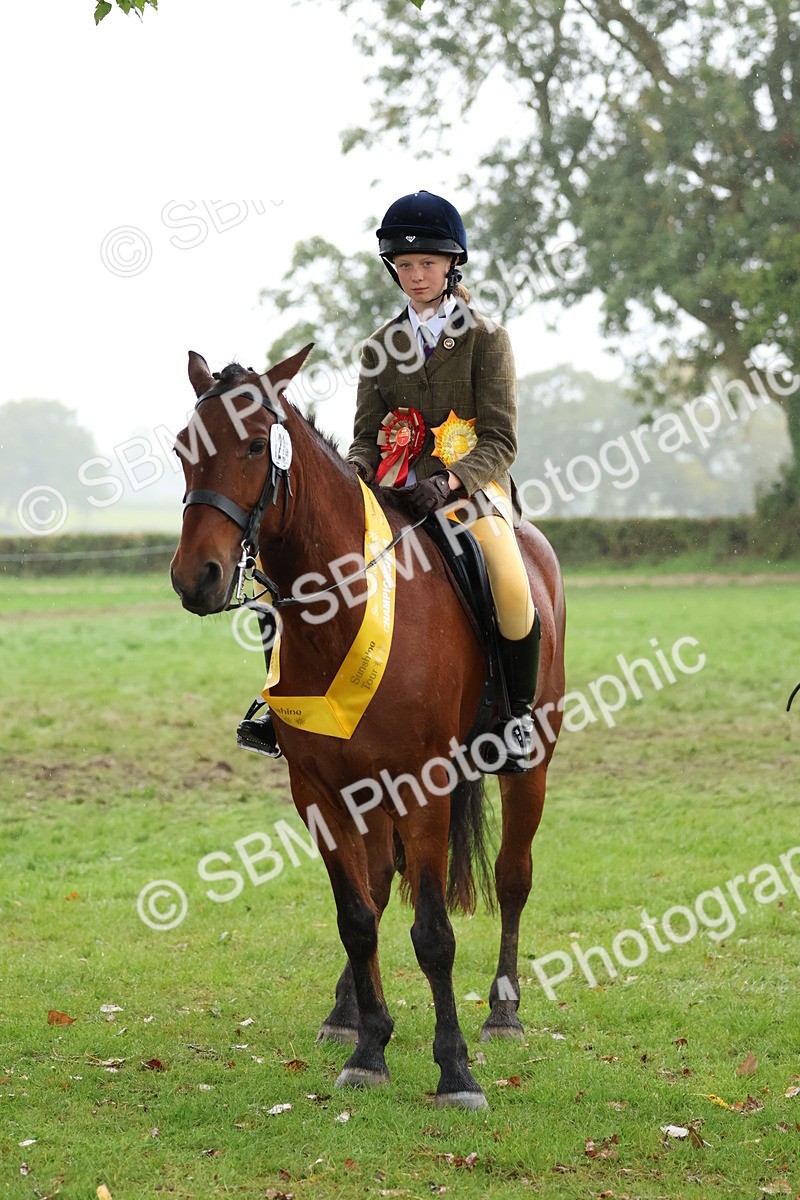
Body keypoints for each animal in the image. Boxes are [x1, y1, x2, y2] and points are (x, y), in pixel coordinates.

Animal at [170, 346, 566, 1109]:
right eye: (182, 449)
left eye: (256, 445)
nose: (195, 578)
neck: (344, 603)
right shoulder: (319, 790)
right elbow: (356, 917)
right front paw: (368, 1048)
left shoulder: (423, 784)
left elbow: (434, 931)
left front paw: (455, 1071)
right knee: (379, 885)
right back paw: (346, 1011)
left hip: (529, 766)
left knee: (513, 877)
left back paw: (503, 1012)